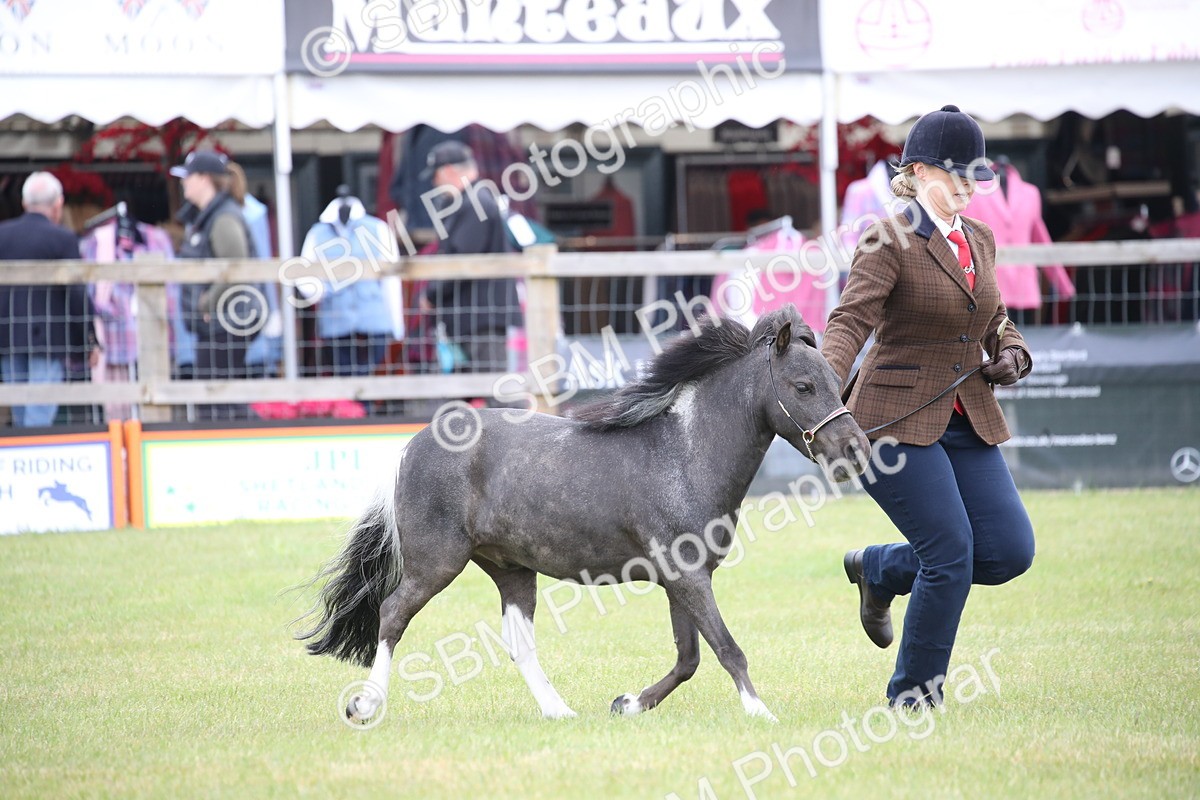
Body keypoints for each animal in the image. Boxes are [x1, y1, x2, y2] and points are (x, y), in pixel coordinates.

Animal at [297, 305, 870, 724]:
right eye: (803, 386)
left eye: (836, 380)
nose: (856, 450)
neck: (684, 453)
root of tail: (411, 445)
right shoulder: (687, 575)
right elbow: (727, 648)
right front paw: (760, 712)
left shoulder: (683, 577)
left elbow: (689, 658)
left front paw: (627, 704)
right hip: (435, 563)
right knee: (392, 614)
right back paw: (365, 705)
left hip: (510, 569)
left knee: (518, 642)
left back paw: (560, 711)